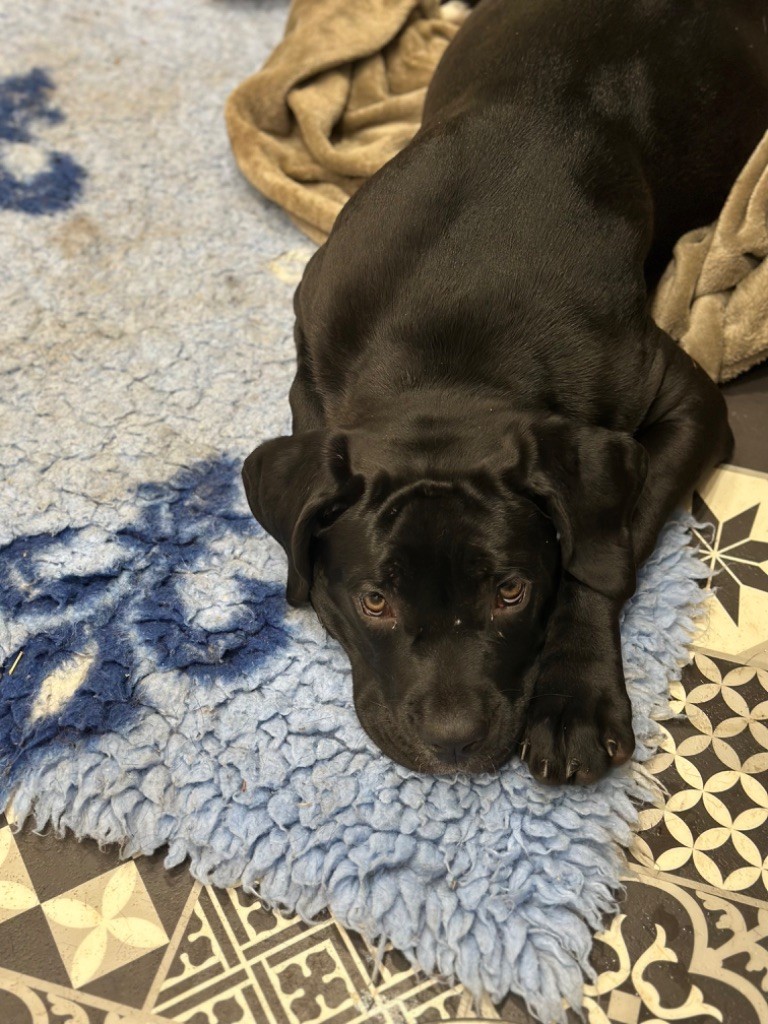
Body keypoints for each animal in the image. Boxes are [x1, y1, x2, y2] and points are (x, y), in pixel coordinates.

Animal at [243, 0, 768, 784]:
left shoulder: (686, 401)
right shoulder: (312, 360)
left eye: (511, 592)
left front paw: (575, 695)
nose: (453, 739)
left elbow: (598, 553)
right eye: (375, 601)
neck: (447, 364)